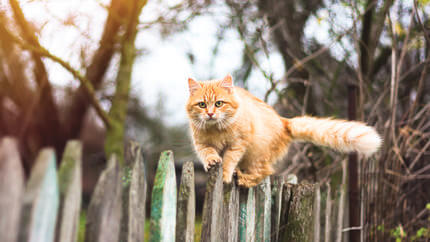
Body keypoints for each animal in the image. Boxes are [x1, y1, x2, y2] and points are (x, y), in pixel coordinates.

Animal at [186, 74, 382, 187]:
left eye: (219, 103)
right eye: (202, 105)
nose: (210, 113)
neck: (216, 129)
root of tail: (283, 121)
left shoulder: (238, 144)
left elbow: (228, 160)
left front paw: (226, 175)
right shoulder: (201, 144)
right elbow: (209, 153)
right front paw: (212, 161)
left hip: (257, 156)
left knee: (263, 173)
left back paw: (243, 179)